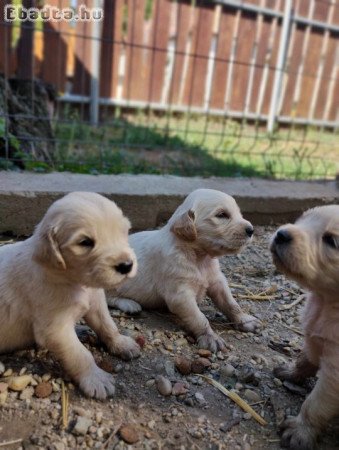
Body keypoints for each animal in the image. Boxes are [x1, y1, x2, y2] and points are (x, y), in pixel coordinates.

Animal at [0, 192, 141, 400]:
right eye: (85, 242)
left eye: (124, 231)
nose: (126, 265)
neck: (69, 278)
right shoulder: (55, 330)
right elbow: (80, 355)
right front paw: (96, 378)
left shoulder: (96, 302)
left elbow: (107, 325)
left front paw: (120, 343)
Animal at [109, 189, 260, 352]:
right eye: (222, 215)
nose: (251, 230)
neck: (199, 258)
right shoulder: (180, 295)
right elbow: (199, 318)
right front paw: (210, 337)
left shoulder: (217, 280)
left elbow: (231, 303)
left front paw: (245, 320)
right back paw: (130, 304)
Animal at [272, 206, 339, 448]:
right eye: (302, 219)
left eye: (331, 240)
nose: (281, 234)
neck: (325, 302)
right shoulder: (313, 336)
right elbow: (305, 358)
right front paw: (290, 371)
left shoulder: (334, 374)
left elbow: (315, 403)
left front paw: (300, 432)